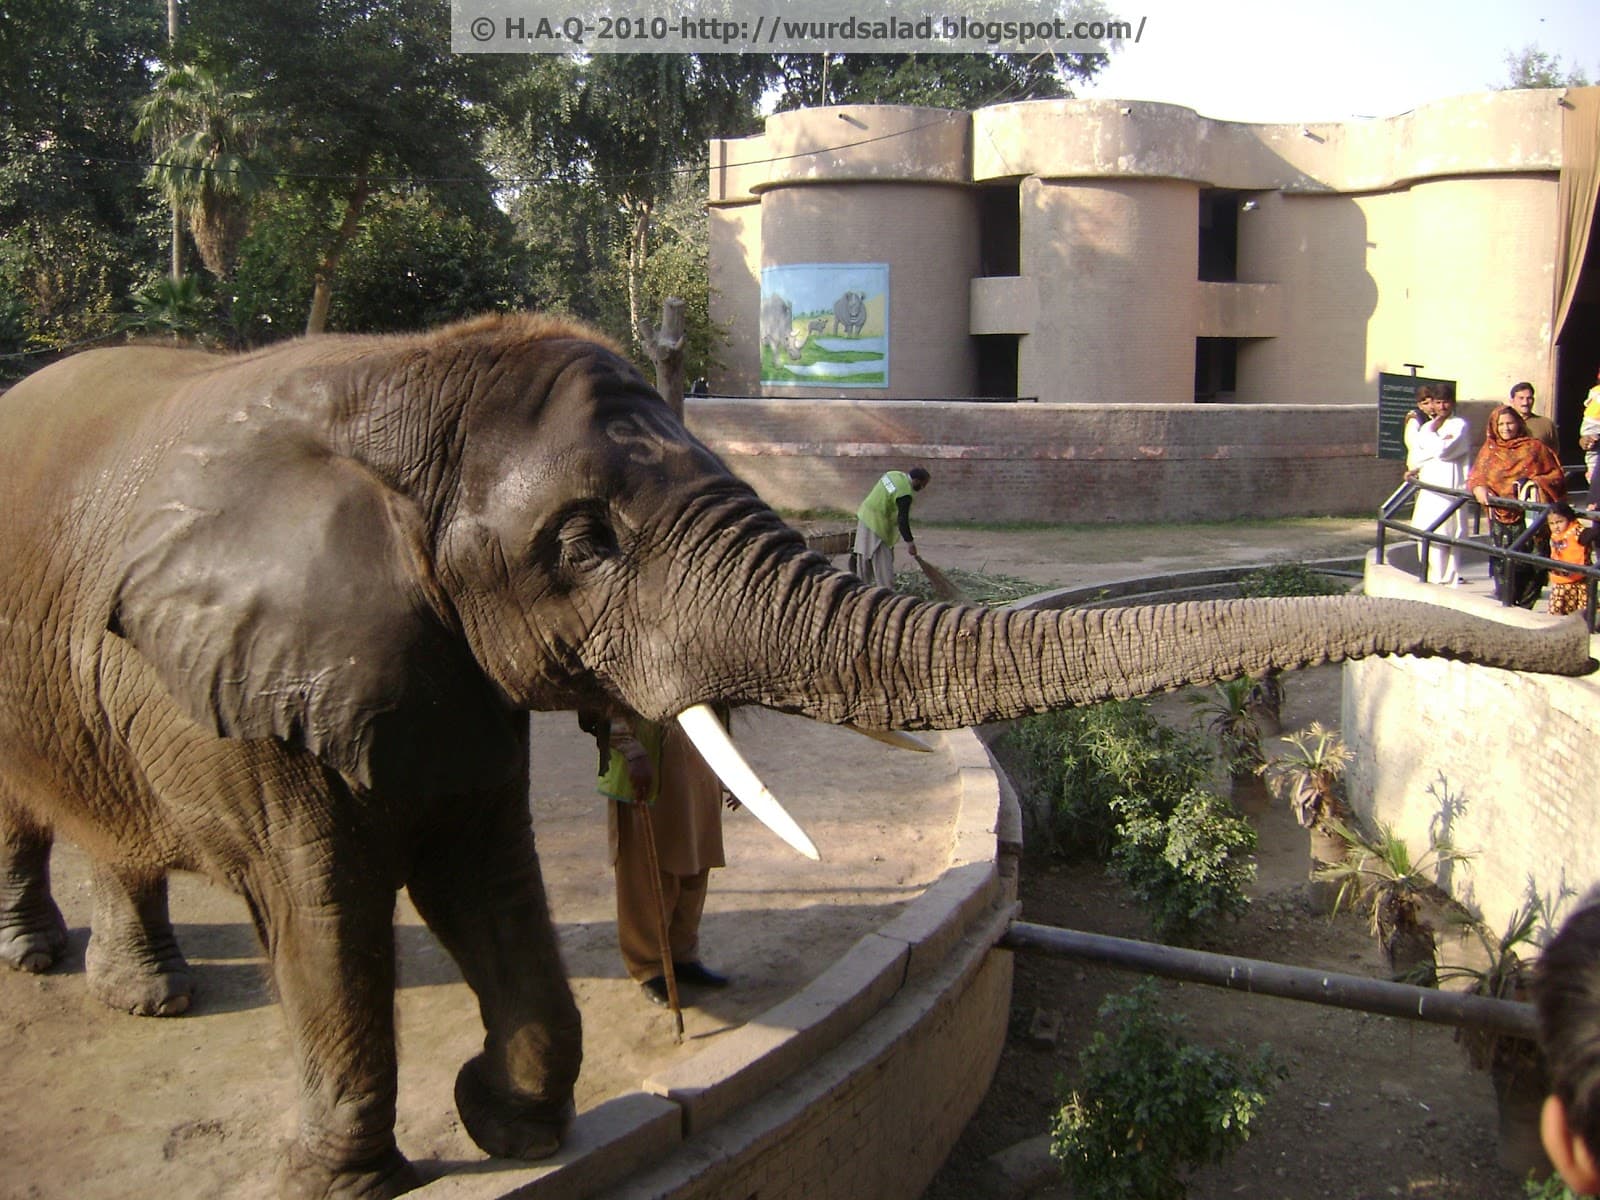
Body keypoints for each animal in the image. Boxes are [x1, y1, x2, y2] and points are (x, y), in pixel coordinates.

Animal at [0, 315, 1587, 1196]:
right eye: (582, 542)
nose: (1579, 644)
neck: (394, 374)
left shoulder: (440, 662)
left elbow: (491, 870)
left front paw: (508, 1120)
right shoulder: (237, 680)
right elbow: (322, 905)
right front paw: (340, 1183)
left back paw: (141, 989)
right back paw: (70, 968)